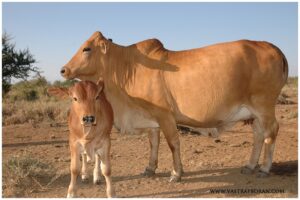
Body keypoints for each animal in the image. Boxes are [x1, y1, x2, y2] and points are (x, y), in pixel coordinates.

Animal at [60, 30, 288, 181]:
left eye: (87, 48)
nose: (64, 70)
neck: (127, 68)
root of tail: (273, 48)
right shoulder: (152, 119)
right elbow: (154, 143)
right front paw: (150, 169)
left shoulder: (165, 116)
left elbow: (173, 144)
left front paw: (176, 173)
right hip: (255, 113)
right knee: (258, 135)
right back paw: (250, 166)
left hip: (264, 106)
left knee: (271, 132)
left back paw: (264, 168)